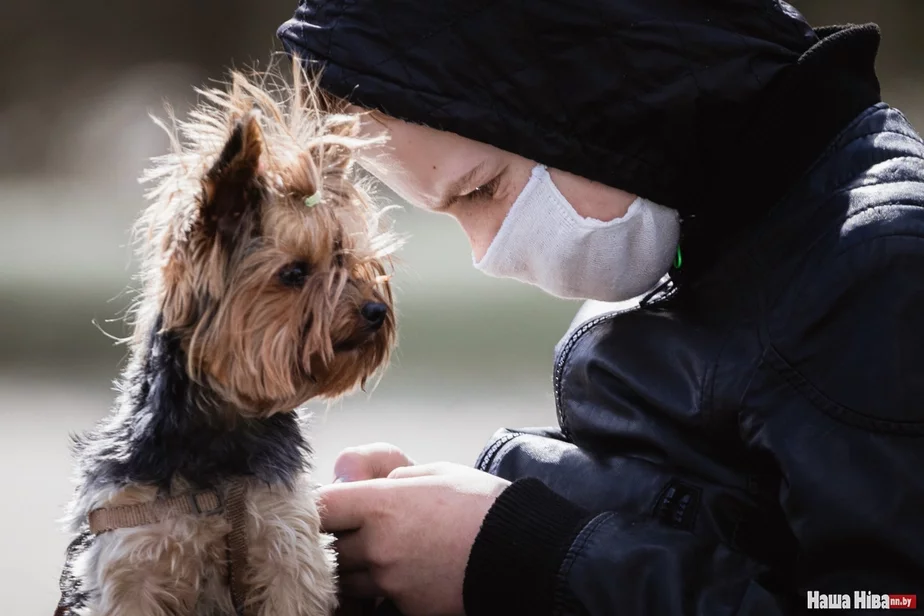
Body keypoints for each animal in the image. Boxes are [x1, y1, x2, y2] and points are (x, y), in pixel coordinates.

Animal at [54, 60, 398, 616]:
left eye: (345, 258)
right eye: (294, 273)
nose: (376, 310)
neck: (220, 442)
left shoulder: (288, 546)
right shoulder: (129, 556)